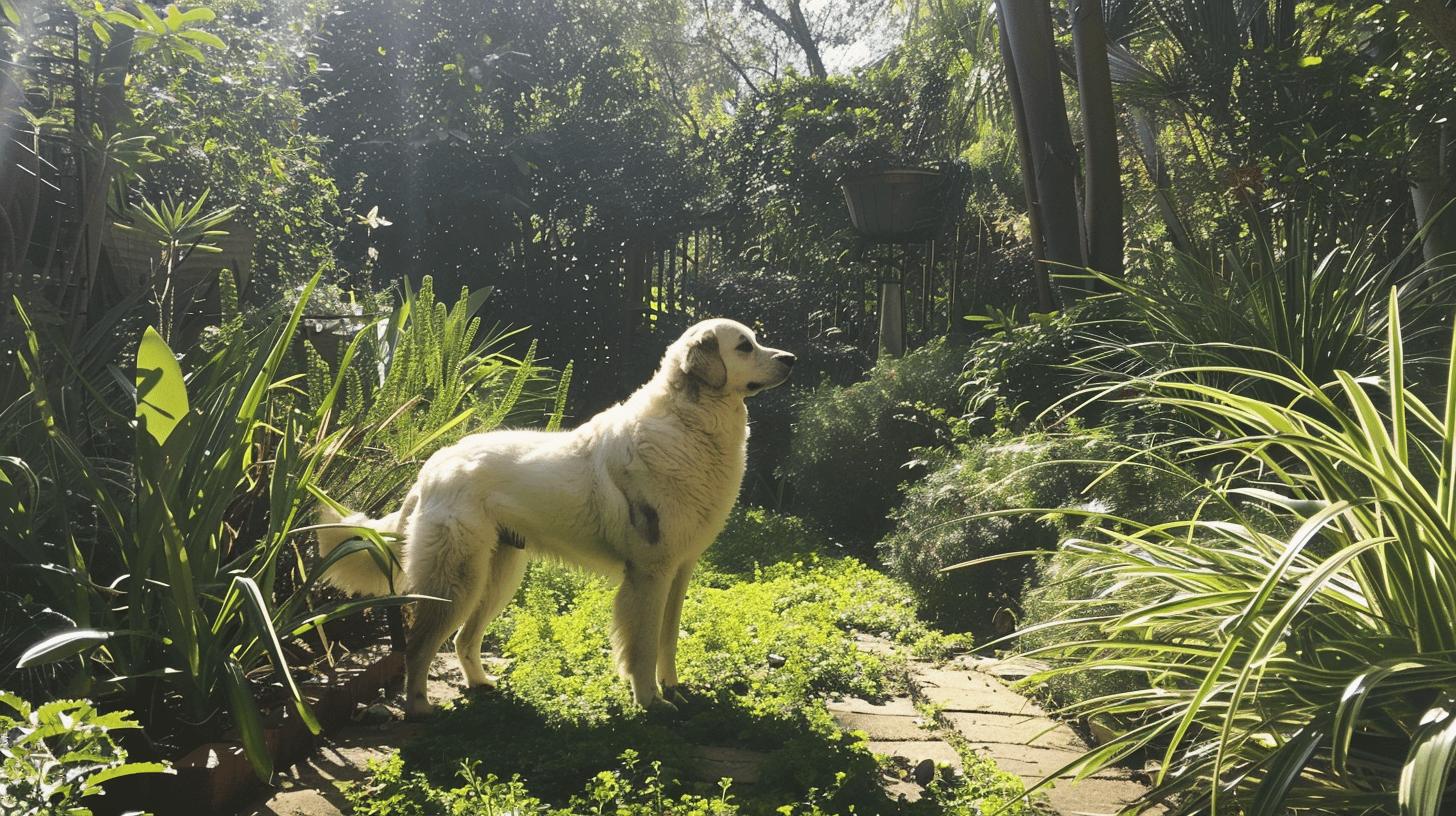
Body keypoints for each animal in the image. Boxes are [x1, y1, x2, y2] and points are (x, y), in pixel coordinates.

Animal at [317, 319, 797, 714]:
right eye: (744, 346)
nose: (791, 359)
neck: (689, 420)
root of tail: (430, 470)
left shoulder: (679, 571)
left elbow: (668, 639)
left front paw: (673, 689)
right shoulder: (649, 573)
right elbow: (642, 646)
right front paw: (651, 703)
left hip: (498, 575)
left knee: (462, 638)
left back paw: (481, 684)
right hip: (456, 580)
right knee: (420, 647)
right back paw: (420, 709)